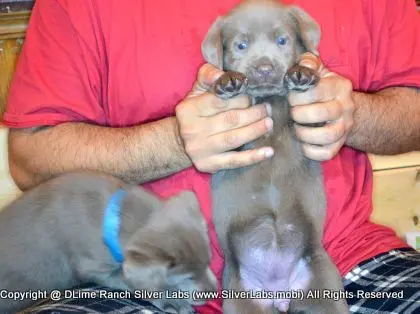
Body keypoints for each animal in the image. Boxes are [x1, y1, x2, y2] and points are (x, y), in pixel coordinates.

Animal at [0, 172, 217, 314]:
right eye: (188, 277)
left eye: (208, 262)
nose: (215, 294)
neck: (114, 216)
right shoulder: (93, 268)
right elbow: (133, 283)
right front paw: (173, 301)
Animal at [203, 0, 352, 314]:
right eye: (241, 45)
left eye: (282, 41)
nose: (264, 68)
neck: (270, 101)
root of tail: (279, 293)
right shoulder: (228, 147)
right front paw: (227, 81)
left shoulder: (310, 126)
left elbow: (319, 122)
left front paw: (303, 74)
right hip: (240, 296)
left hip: (323, 283)